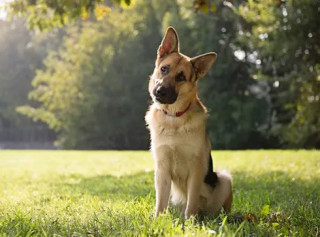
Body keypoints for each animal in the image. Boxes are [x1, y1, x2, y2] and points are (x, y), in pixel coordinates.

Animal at [146, 26, 232, 218]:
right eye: (164, 69)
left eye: (181, 77)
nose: (160, 91)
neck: (174, 118)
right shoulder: (162, 170)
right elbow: (160, 203)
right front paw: (157, 220)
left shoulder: (196, 170)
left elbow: (191, 201)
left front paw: (190, 221)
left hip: (224, 179)